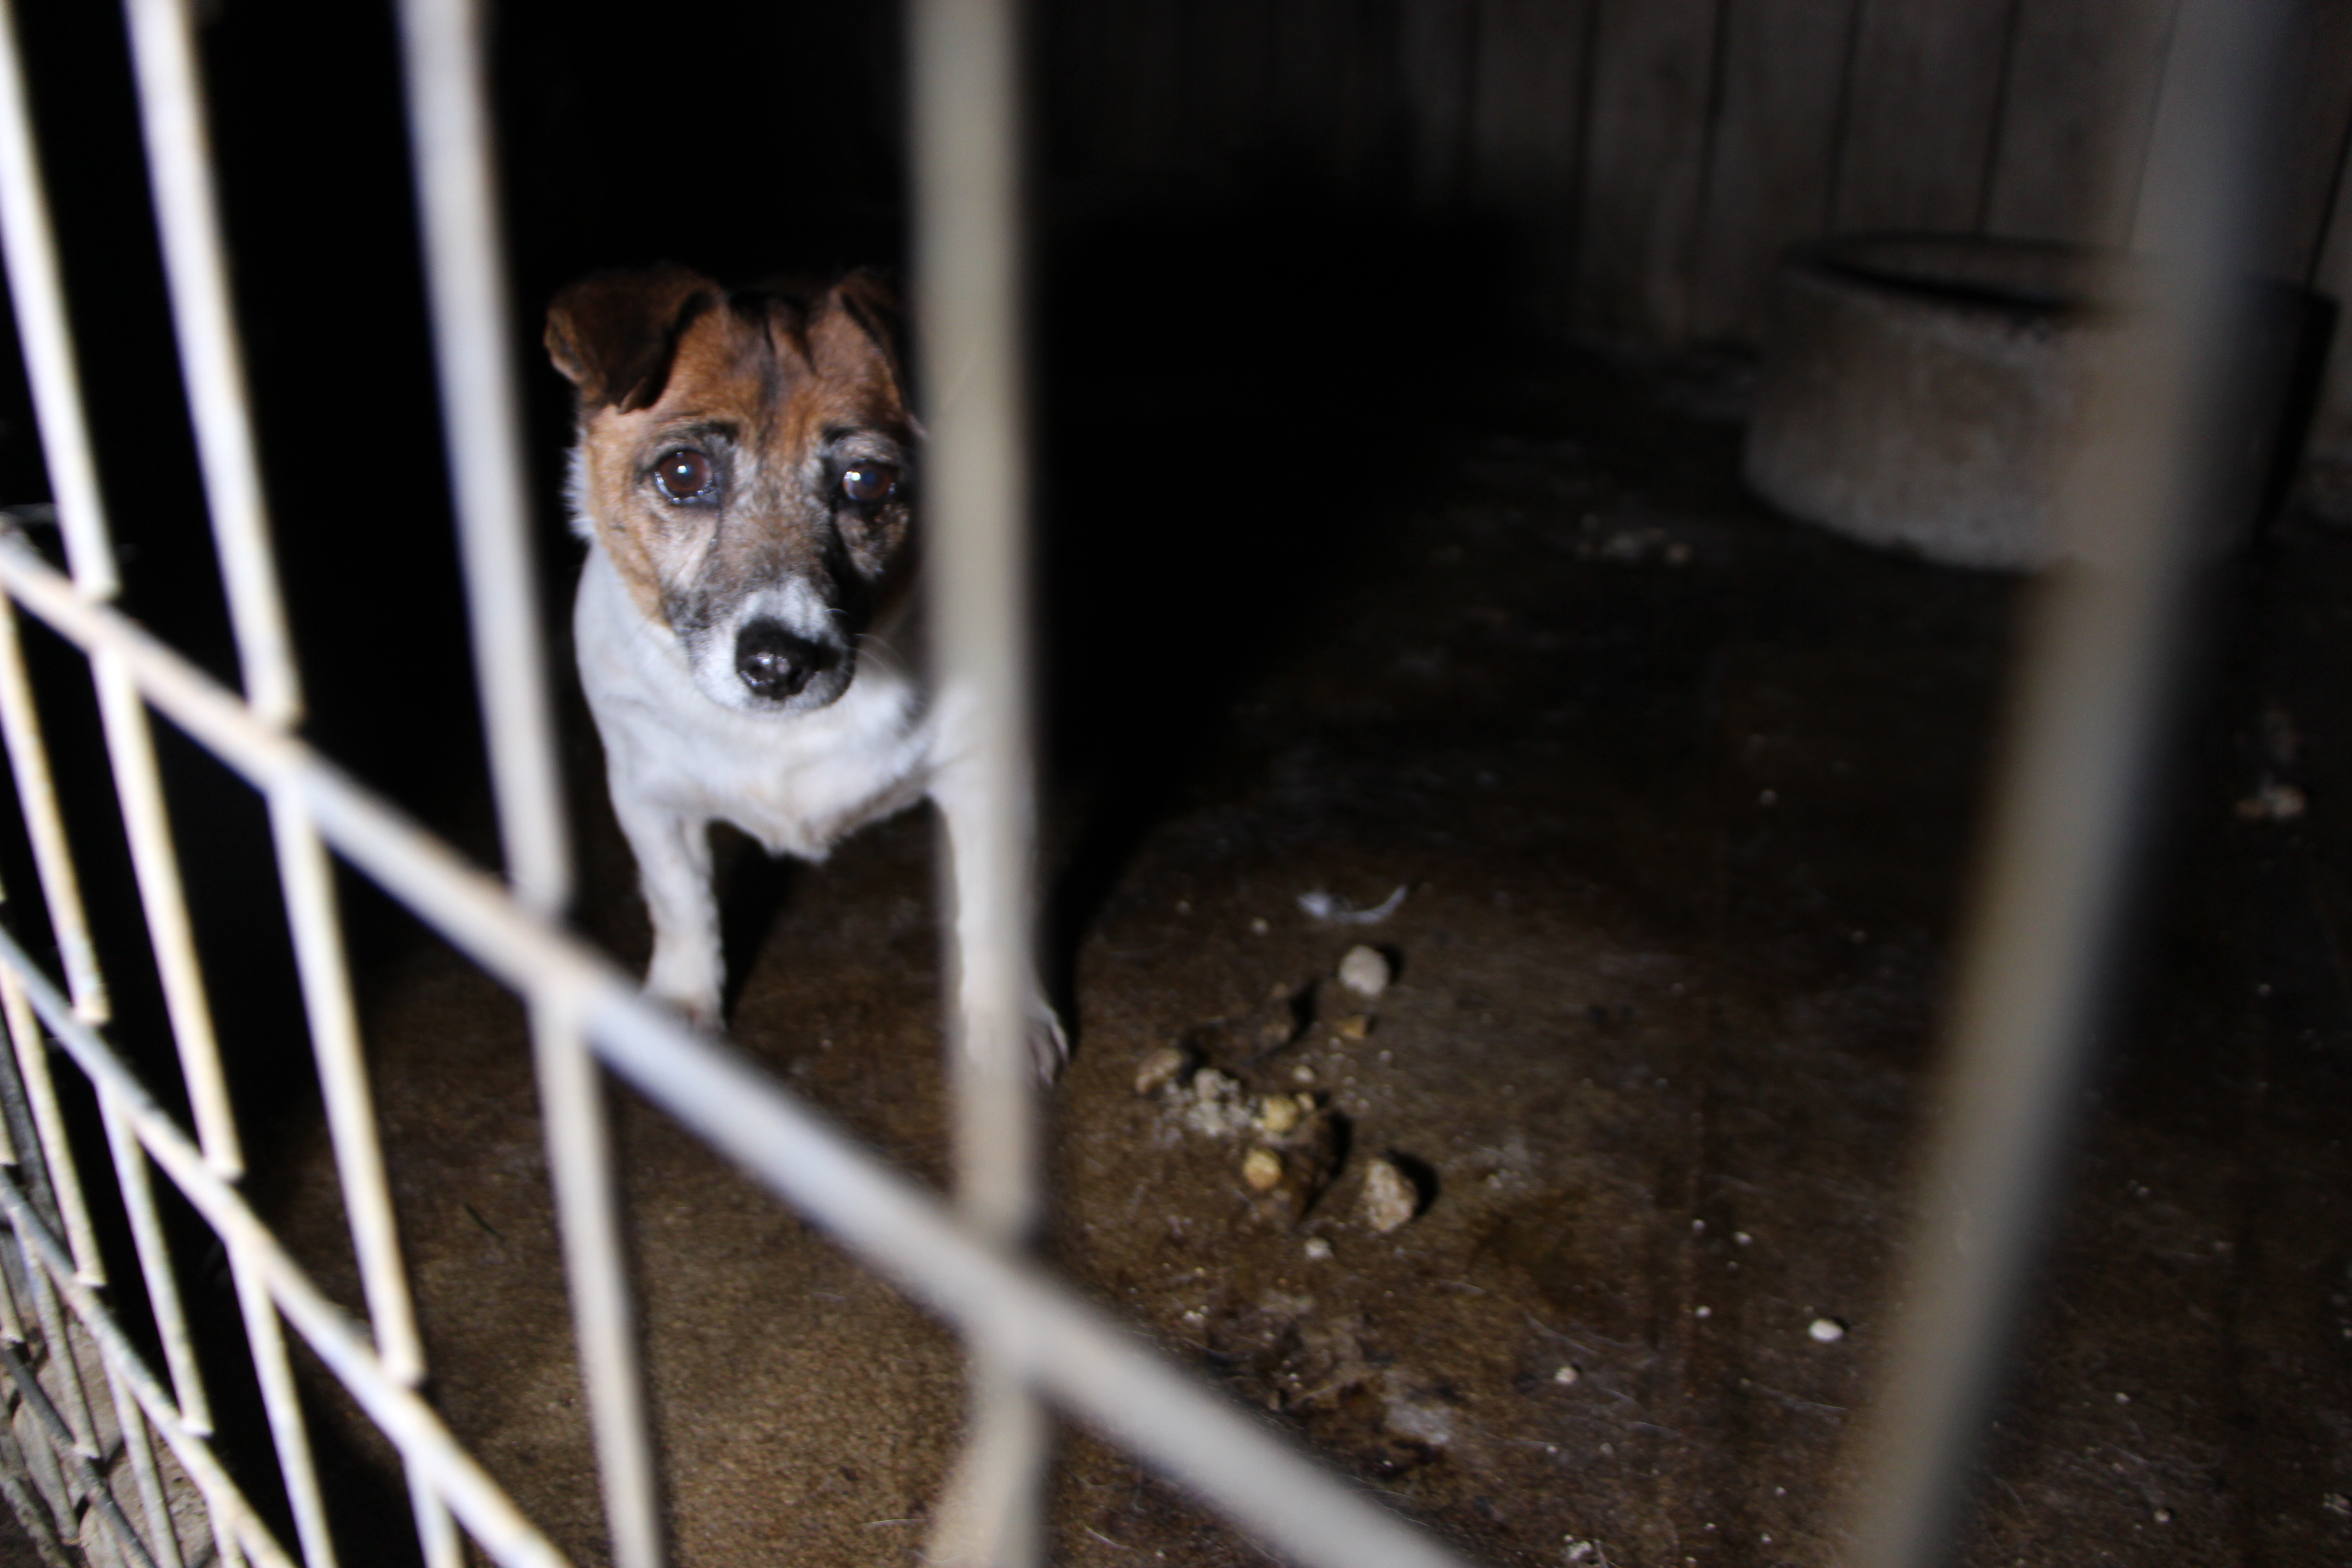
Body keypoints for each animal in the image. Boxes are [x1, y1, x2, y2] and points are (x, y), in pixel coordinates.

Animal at [545, 267, 1063, 1081]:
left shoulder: (987, 777)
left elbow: (988, 909)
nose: (777, 664)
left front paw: (1002, 1018)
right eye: (683, 473)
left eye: (868, 480)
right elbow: (680, 902)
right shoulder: (649, 795)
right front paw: (684, 1004)